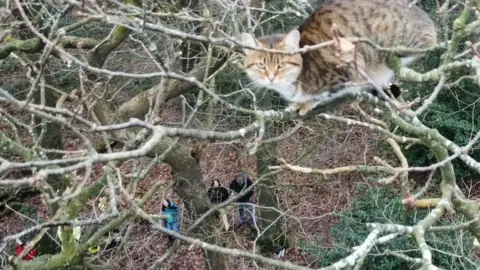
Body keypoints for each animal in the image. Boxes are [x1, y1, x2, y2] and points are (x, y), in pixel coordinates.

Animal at [242, 0, 436, 115]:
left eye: (281, 65)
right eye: (261, 65)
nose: (271, 77)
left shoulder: (345, 71)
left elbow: (322, 94)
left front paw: (306, 103)